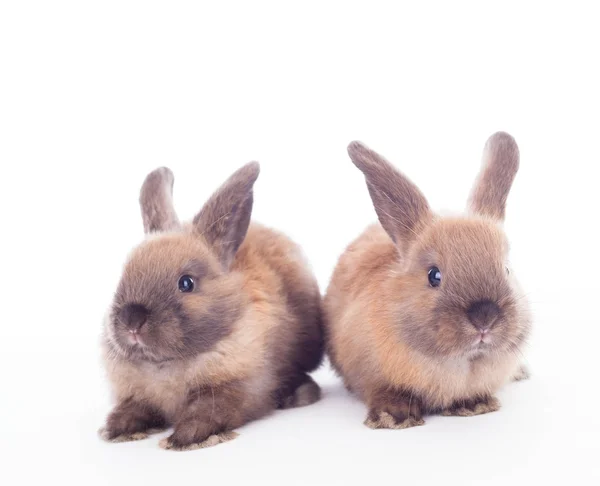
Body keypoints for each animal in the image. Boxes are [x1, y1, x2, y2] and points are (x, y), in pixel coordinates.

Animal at [100, 164, 324, 452]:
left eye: (186, 283)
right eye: (123, 275)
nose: (132, 321)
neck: (166, 365)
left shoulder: (238, 388)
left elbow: (208, 412)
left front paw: (183, 439)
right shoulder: (138, 394)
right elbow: (134, 408)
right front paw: (115, 429)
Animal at [324, 132, 528, 430]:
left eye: (506, 269)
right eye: (434, 275)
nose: (485, 318)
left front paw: (474, 405)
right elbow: (384, 392)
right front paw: (393, 418)